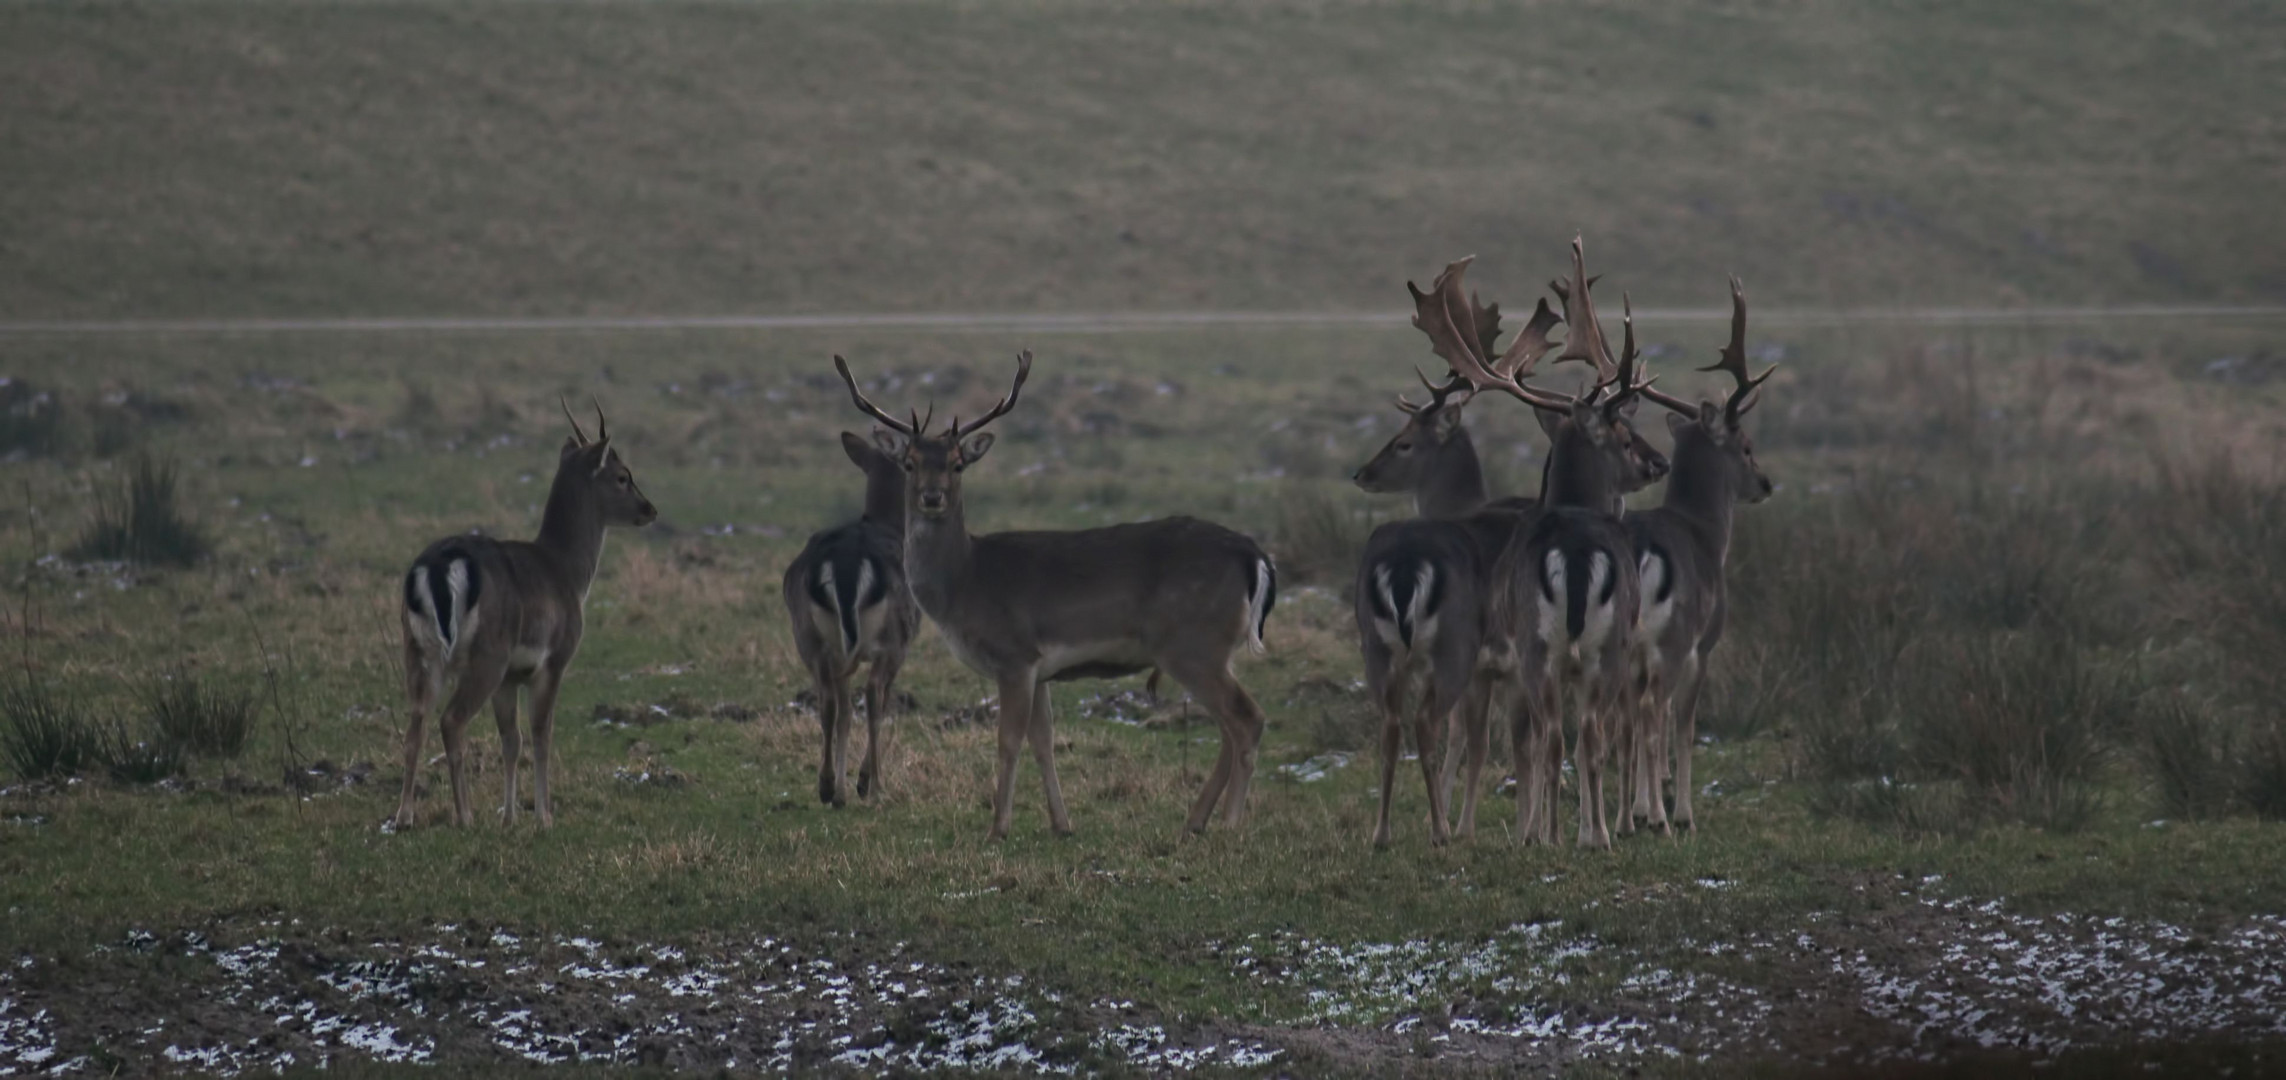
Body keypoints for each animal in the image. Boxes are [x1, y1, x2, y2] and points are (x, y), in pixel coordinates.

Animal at [393, 400, 658, 832]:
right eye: (623, 476)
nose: (649, 509)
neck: (567, 573)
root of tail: (437, 566)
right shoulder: (553, 660)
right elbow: (540, 734)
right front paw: (544, 817)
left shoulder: (510, 678)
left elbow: (511, 741)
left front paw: (509, 817)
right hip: (487, 653)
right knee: (451, 720)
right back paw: (464, 815)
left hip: (417, 648)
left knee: (415, 724)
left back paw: (403, 817)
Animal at [786, 430, 918, 810]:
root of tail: (845, 565)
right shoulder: (900, 646)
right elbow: (881, 702)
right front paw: (863, 782)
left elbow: (845, 712)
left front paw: (843, 790)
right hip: (890, 637)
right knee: (872, 696)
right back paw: (876, 787)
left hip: (810, 637)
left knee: (829, 704)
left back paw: (828, 786)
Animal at [832, 350, 1280, 837]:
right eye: (910, 463)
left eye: (957, 463)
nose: (933, 497)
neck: (964, 583)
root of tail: (1254, 555)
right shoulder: (1040, 668)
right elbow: (1042, 740)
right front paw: (1061, 823)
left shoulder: (1013, 655)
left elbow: (1008, 741)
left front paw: (998, 827)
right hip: (1213, 650)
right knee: (1228, 725)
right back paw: (1196, 822)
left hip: (1193, 644)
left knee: (1246, 718)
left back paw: (1230, 824)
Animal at [1618, 278, 1773, 837]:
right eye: (1746, 446)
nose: (1766, 483)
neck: (1706, 535)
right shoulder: (1702, 644)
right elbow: (1681, 727)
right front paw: (1677, 811)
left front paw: (1640, 806)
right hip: (1673, 635)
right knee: (1651, 711)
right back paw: (1666, 820)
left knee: (1626, 714)